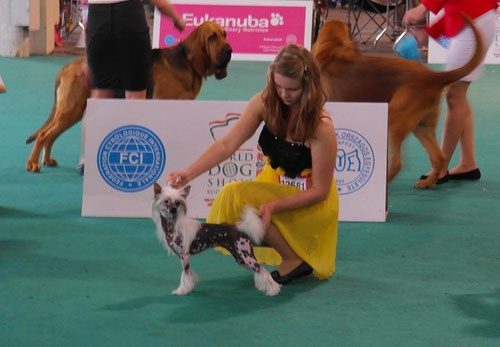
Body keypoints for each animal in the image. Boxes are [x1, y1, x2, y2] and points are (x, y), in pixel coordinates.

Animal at [25, 21, 232, 173]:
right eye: (212, 37)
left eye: (224, 34)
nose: (229, 50)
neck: (186, 63)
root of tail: (68, 67)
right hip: (71, 109)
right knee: (44, 135)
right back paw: (33, 163)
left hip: (73, 111)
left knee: (50, 135)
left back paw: (47, 160)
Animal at [314, 16, 482, 189]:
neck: (332, 46)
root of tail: (433, 77)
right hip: (422, 127)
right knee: (439, 158)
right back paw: (428, 182)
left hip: (394, 121)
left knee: (397, 163)